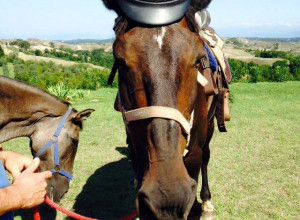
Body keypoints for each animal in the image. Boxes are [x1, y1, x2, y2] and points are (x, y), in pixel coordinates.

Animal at [103, 0, 216, 218]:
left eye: (198, 59)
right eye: (119, 60)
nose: (167, 200)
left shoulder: (195, 153)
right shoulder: (136, 152)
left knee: (206, 156)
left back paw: (207, 202)